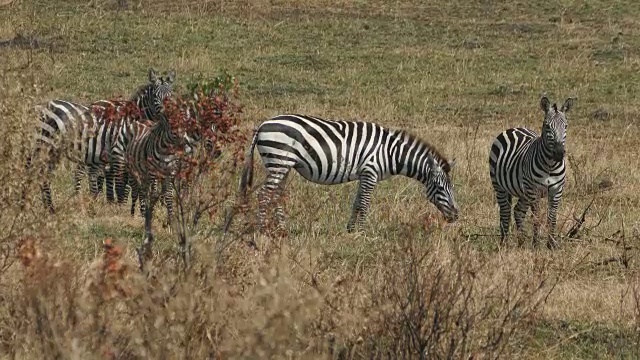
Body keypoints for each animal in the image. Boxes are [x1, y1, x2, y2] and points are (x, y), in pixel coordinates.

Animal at [238, 114, 458, 233]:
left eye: (451, 188)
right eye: (440, 188)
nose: (456, 216)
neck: (390, 152)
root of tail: (263, 124)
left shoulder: (365, 174)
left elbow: (357, 201)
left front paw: (351, 230)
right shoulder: (371, 171)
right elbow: (364, 202)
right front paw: (362, 232)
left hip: (283, 165)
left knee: (276, 194)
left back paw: (282, 229)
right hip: (278, 160)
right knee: (264, 194)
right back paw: (263, 229)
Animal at [490, 95, 576, 248]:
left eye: (566, 126)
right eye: (547, 126)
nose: (559, 154)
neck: (550, 165)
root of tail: (514, 128)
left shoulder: (557, 190)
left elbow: (552, 217)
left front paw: (551, 244)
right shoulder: (534, 190)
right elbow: (536, 218)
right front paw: (535, 244)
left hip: (523, 191)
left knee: (518, 211)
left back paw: (521, 240)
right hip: (500, 186)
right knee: (505, 211)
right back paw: (504, 242)